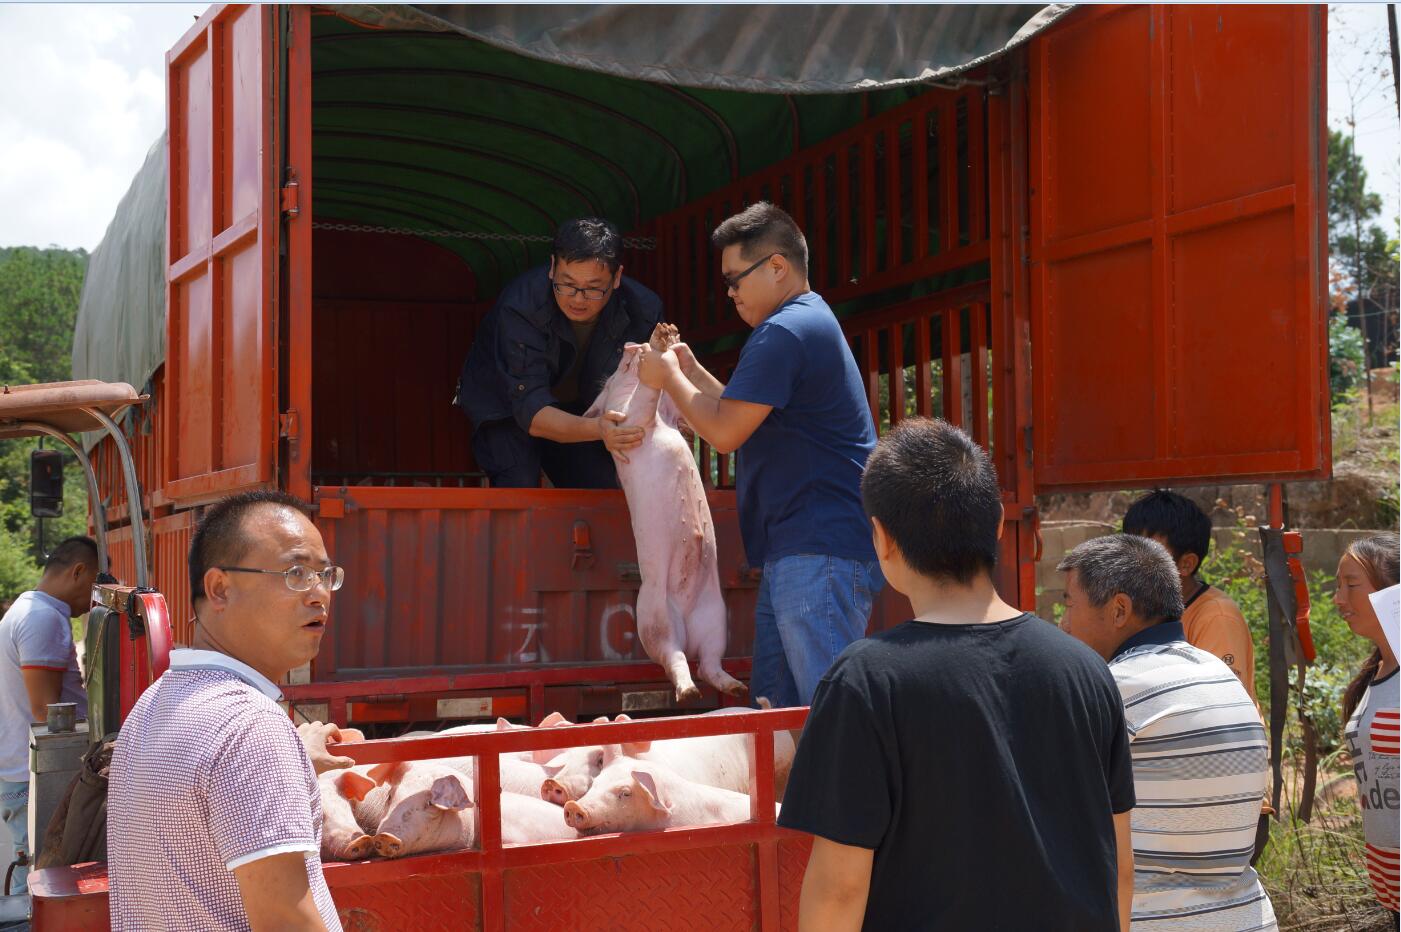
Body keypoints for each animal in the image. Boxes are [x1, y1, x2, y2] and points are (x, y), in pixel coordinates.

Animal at [585, 323, 750, 700]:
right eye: (619, 367)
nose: (630, 344)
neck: (660, 423)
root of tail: (686, 622)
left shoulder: (673, 417)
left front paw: (672, 340)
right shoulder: (629, 421)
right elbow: (641, 402)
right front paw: (661, 341)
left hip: (716, 618)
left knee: (709, 664)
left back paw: (737, 689)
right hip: (654, 617)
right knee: (675, 658)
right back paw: (691, 694)